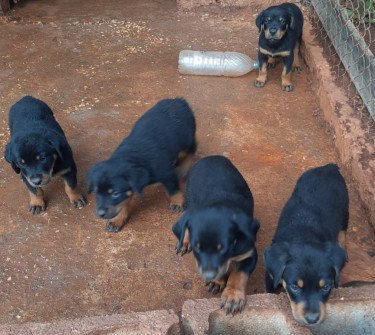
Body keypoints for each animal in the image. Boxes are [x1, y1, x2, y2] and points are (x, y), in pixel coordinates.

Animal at [88, 98, 197, 234]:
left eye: (115, 193)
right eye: (95, 192)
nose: (100, 214)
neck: (131, 158)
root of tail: (178, 100)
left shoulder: (166, 172)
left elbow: (173, 189)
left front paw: (177, 202)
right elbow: (123, 203)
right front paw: (117, 220)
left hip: (187, 139)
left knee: (192, 150)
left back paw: (182, 169)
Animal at [173, 156, 258, 316]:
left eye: (224, 248)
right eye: (197, 248)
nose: (208, 276)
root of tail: (209, 157)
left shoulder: (249, 253)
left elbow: (239, 273)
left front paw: (233, 296)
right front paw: (218, 282)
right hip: (190, 199)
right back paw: (184, 242)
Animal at [264, 164, 350, 326]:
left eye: (326, 287)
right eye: (295, 287)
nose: (312, 319)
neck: (303, 235)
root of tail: (328, 167)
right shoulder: (271, 276)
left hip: (345, 208)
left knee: (343, 232)